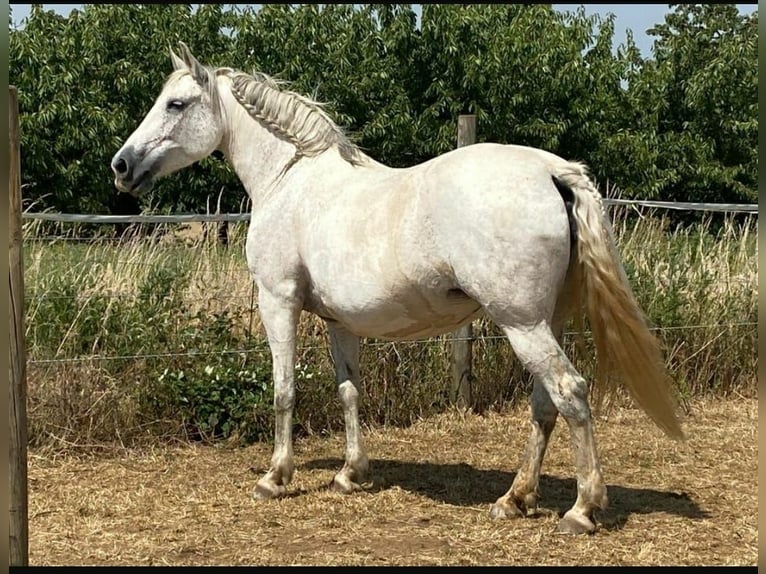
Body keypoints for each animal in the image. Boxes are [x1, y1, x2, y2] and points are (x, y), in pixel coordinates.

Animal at [109, 42, 684, 536]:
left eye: (176, 103)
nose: (121, 166)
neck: (290, 179)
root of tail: (552, 171)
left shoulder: (279, 303)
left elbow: (284, 391)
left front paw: (276, 478)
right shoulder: (337, 322)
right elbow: (348, 391)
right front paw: (350, 473)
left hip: (521, 323)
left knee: (570, 392)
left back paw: (582, 509)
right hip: (546, 321)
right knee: (545, 404)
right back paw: (514, 500)